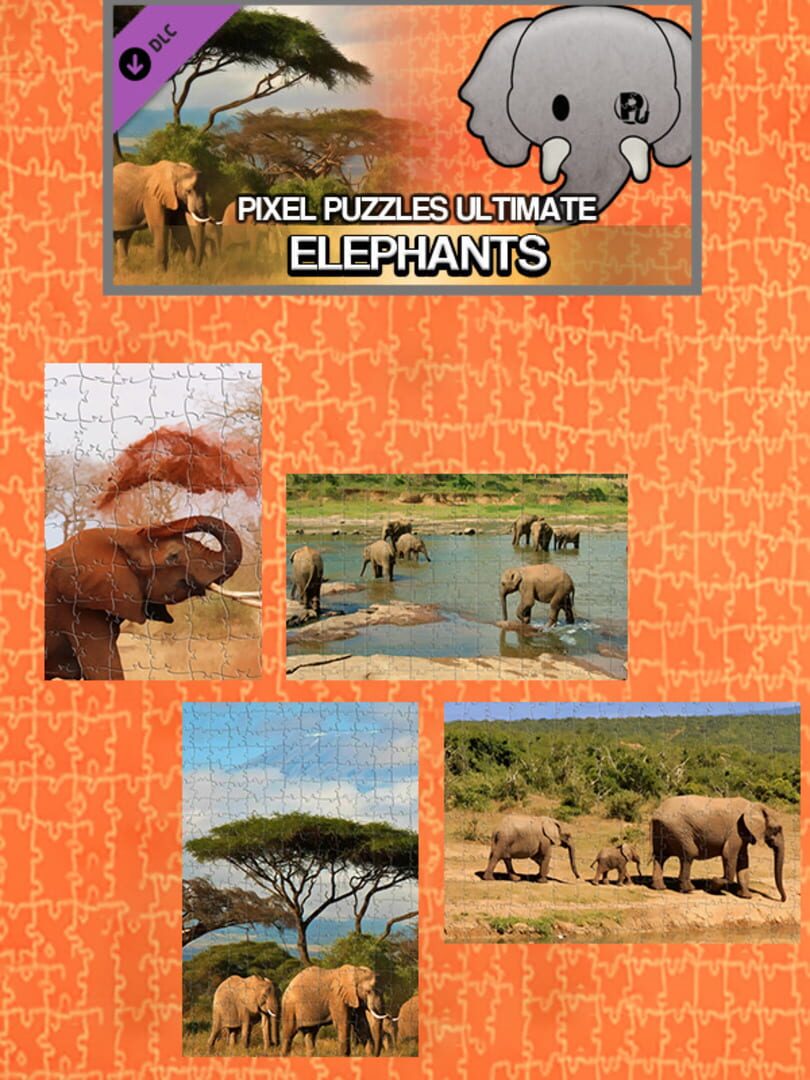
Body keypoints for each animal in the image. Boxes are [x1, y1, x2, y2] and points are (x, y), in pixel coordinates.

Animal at [650, 796, 787, 902]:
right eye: (777, 829)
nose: (782, 899)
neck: (754, 805)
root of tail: (657, 812)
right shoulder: (736, 830)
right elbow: (728, 854)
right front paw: (714, 884)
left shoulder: (743, 833)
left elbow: (743, 861)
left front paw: (746, 897)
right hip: (678, 829)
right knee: (689, 853)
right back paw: (689, 890)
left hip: (661, 830)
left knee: (660, 856)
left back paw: (659, 887)